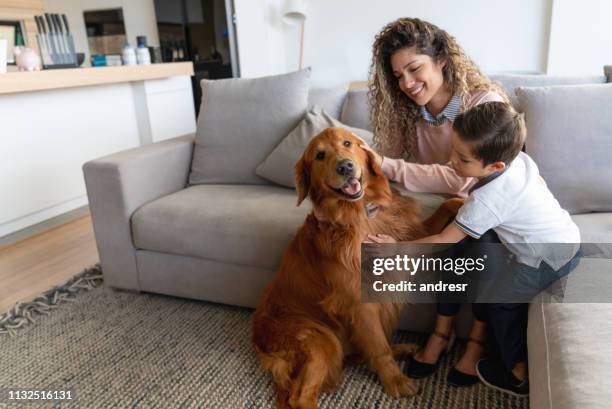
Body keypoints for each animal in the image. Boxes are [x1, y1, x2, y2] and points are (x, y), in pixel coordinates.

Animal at [252, 127, 460, 408]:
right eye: (319, 155)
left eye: (347, 143)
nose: (345, 166)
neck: (361, 213)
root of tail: (258, 337)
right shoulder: (359, 303)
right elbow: (378, 346)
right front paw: (395, 381)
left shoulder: (412, 234)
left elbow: (445, 210)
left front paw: (466, 200)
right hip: (321, 340)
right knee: (300, 396)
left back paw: (402, 348)